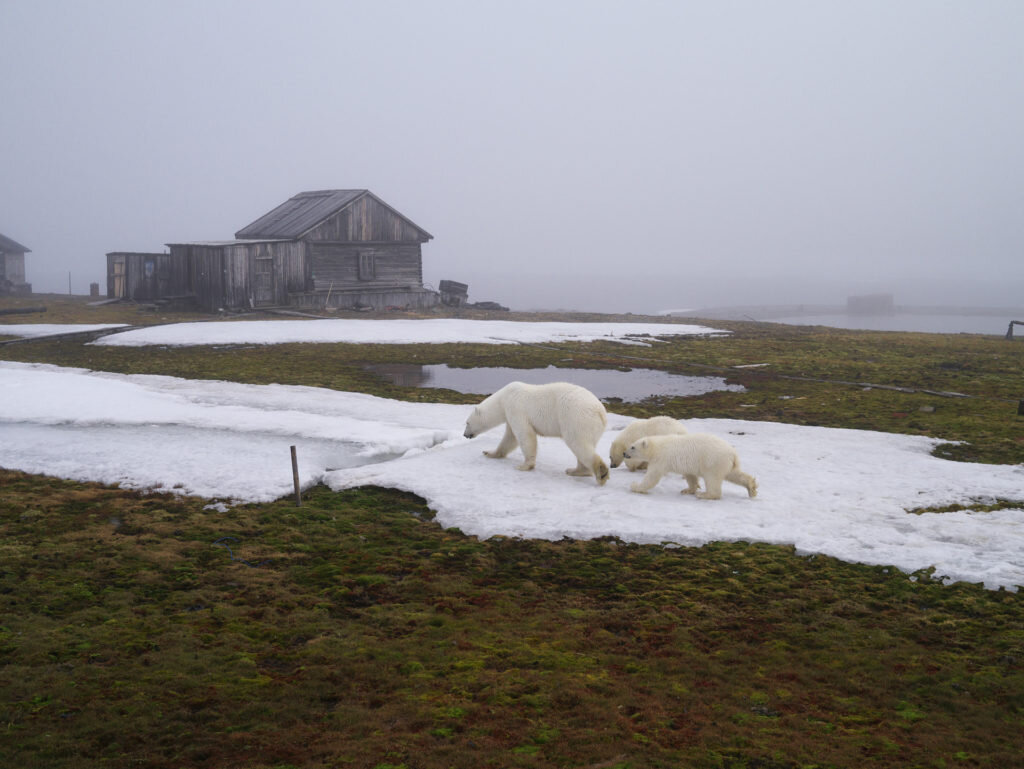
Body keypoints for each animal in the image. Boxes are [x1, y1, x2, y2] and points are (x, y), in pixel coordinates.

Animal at [462, 382, 606, 483]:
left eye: (467, 423)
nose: (464, 434)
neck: (503, 398)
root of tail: (601, 412)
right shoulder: (510, 415)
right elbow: (510, 438)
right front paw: (489, 453)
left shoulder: (515, 408)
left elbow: (524, 435)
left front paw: (524, 466)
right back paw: (576, 470)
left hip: (576, 418)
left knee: (578, 443)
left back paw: (600, 472)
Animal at [618, 434, 757, 499]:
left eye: (632, 447)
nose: (624, 453)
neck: (656, 447)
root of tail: (733, 453)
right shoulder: (688, 465)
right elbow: (691, 476)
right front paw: (687, 490)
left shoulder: (661, 459)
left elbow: (652, 476)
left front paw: (635, 486)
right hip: (726, 463)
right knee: (734, 474)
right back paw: (751, 488)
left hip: (712, 461)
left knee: (713, 479)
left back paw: (705, 495)